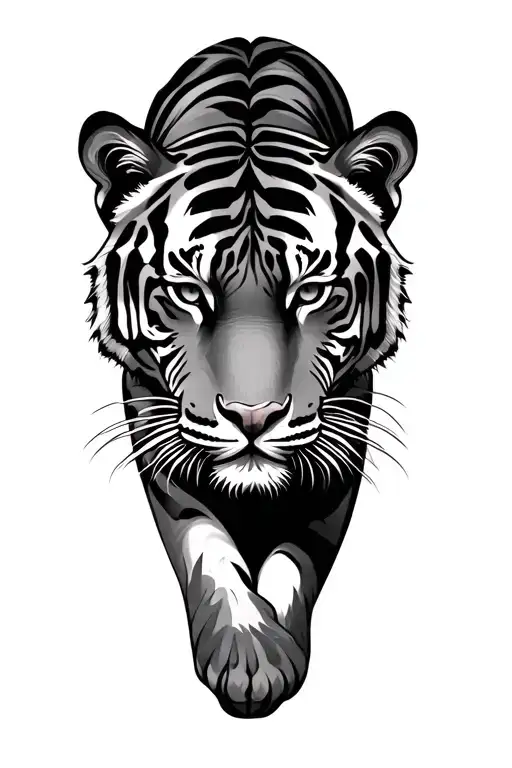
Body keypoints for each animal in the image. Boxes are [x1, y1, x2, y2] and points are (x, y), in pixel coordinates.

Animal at [79, 36, 417, 718]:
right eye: (188, 292)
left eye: (311, 291)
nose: (253, 417)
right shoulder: (151, 416)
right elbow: (202, 543)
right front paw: (245, 655)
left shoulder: (344, 430)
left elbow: (297, 560)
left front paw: (270, 655)